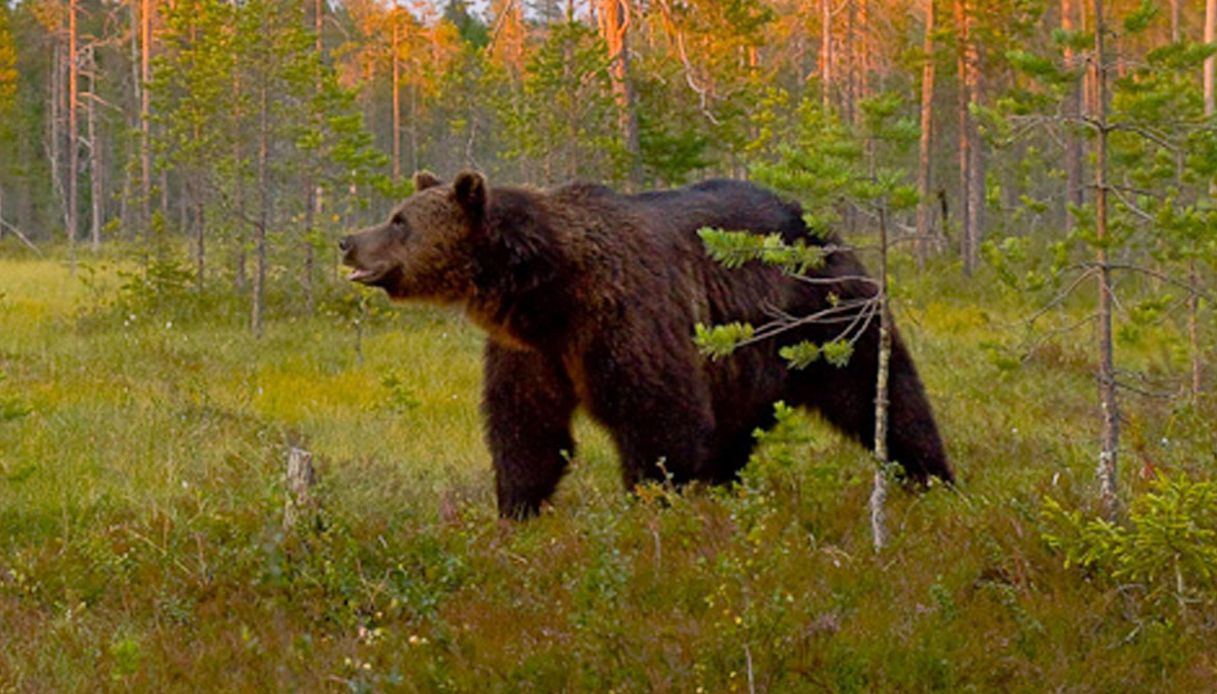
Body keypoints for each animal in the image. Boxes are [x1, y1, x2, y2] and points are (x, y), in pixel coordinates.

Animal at [340, 171, 954, 518]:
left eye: (399, 221)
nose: (348, 240)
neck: (546, 291)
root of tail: (817, 221)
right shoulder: (532, 350)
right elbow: (526, 427)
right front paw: (517, 508)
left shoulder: (626, 314)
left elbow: (659, 418)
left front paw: (653, 506)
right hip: (744, 362)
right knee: (734, 431)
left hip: (827, 316)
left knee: (884, 392)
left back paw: (931, 477)